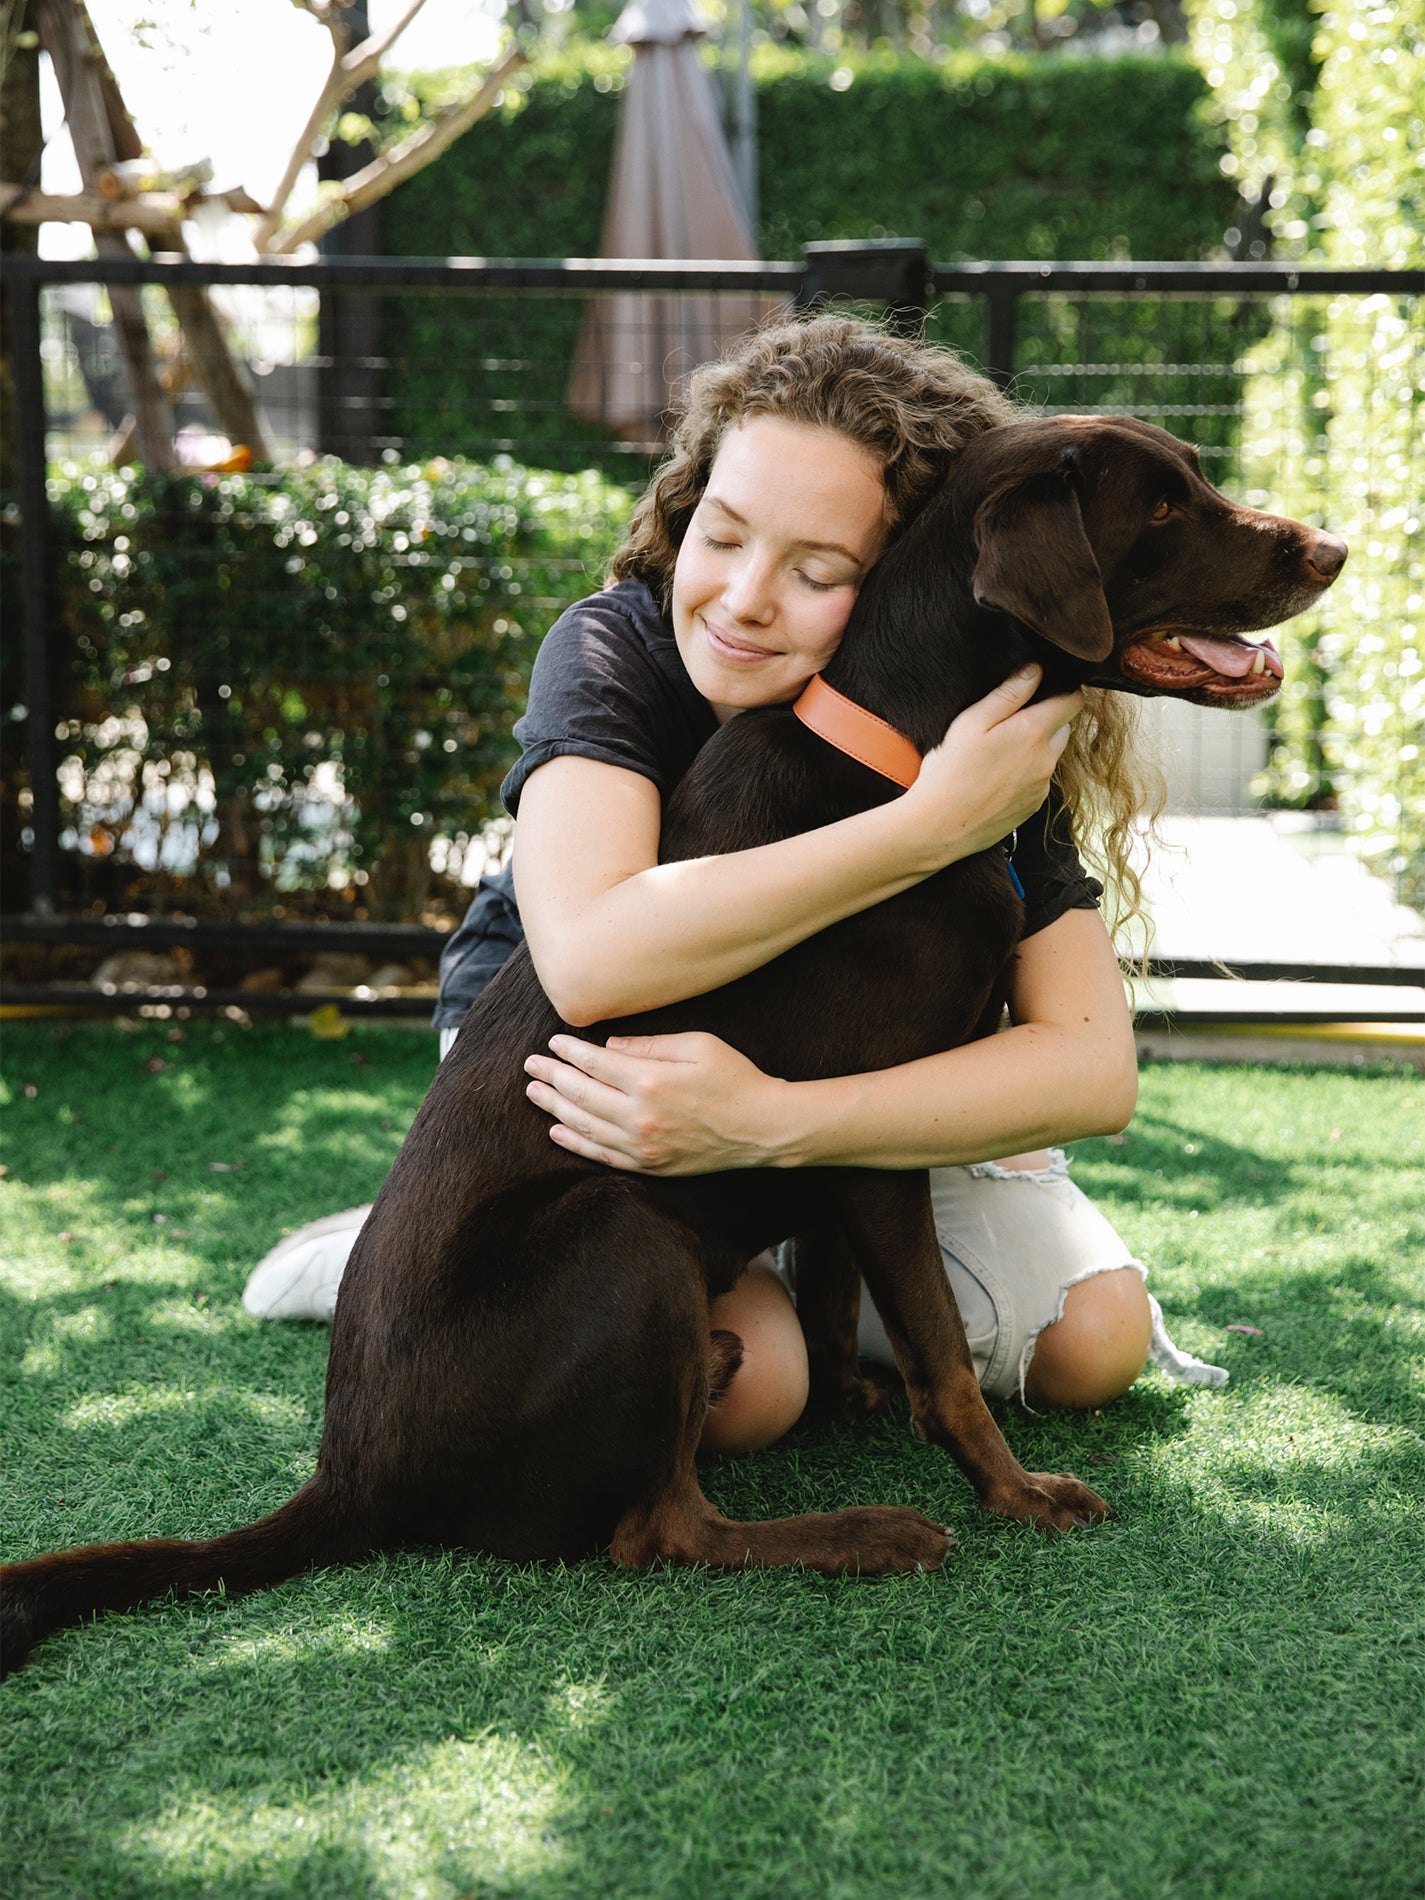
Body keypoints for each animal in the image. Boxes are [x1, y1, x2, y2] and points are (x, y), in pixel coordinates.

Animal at [0, 419, 1345, 1679]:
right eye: (1161, 508)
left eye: (1192, 477)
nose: (1331, 547)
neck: (900, 753)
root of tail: (352, 1473)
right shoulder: (873, 1142)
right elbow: (946, 1361)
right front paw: (1015, 1492)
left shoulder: (849, 1133)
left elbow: (840, 1298)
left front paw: (855, 1392)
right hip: (623, 1237)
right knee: (658, 1533)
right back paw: (863, 1532)